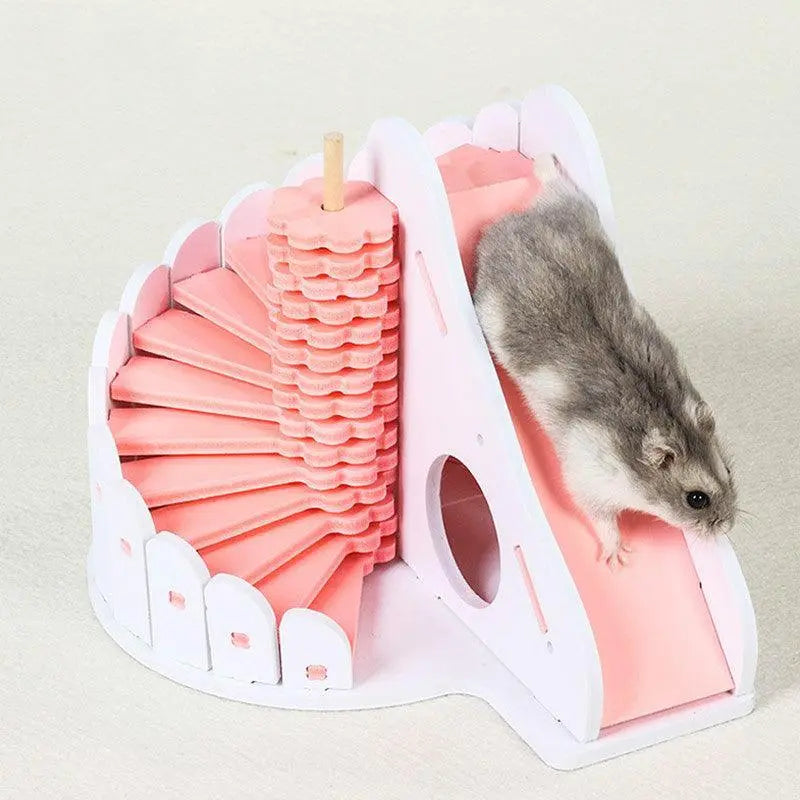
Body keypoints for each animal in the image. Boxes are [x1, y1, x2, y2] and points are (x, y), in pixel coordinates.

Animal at [473, 155, 736, 567]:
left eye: (727, 469)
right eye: (697, 499)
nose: (727, 525)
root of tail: (503, 224)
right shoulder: (589, 478)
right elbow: (601, 518)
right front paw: (618, 557)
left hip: (577, 208)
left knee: (556, 185)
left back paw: (544, 162)